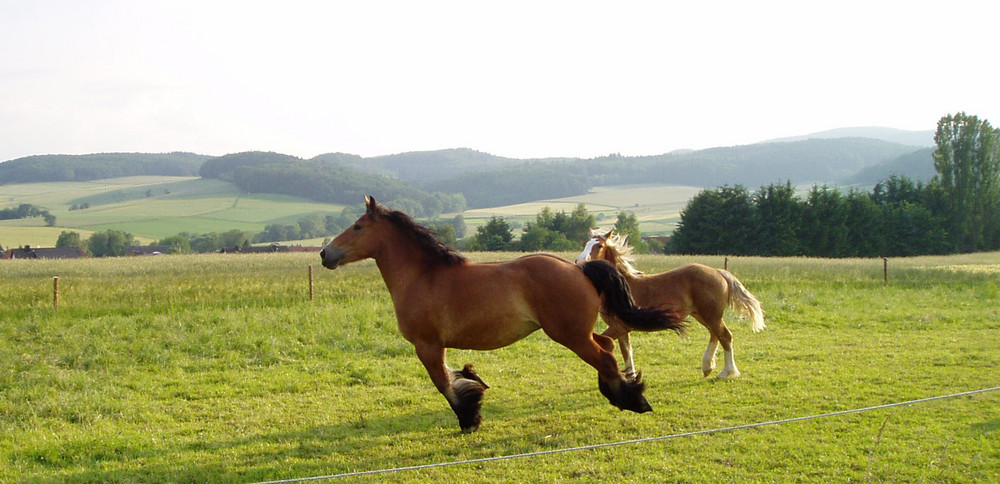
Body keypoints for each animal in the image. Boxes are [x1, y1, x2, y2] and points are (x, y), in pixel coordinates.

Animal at [322, 199, 688, 432]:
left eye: (357, 227)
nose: (326, 253)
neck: (423, 277)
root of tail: (579, 268)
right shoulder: (436, 347)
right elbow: (454, 376)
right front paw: (474, 388)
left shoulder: (427, 346)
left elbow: (444, 384)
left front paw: (469, 420)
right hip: (579, 333)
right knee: (608, 348)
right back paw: (620, 394)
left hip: (570, 335)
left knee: (607, 358)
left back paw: (633, 401)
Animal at [580, 231, 764, 382]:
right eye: (584, 244)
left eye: (599, 245)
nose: (579, 261)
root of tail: (719, 272)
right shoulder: (622, 328)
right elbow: (626, 350)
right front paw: (630, 377)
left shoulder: (620, 326)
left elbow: (606, 343)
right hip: (703, 315)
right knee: (715, 335)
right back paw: (707, 367)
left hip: (711, 315)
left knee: (725, 336)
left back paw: (727, 372)